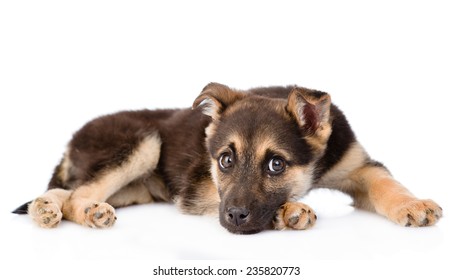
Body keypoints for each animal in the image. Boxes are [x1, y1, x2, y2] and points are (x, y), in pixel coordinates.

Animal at [12, 83, 444, 234]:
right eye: (223, 161)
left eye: (276, 164)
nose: (235, 218)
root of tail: (70, 141)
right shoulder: (197, 189)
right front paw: (289, 210)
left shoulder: (357, 166)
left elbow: (387, 182)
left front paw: (412, 205)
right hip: (143, 143)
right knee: (78, 195)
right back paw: (79, 213)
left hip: (136, 187)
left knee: (68, 191)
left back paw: (45, 209)